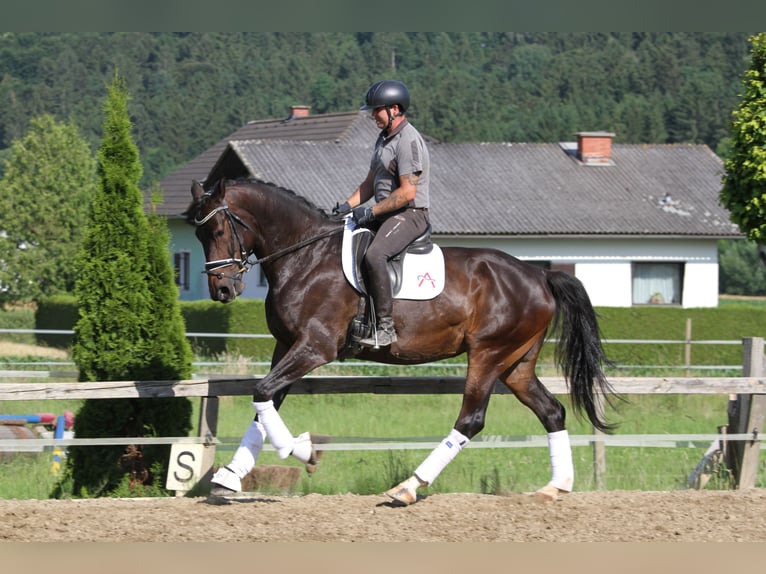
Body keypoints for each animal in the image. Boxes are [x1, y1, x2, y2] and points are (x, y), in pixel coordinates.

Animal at [186, 178, 616, 506]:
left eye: (219, 230)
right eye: (198, 234)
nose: (222, 290)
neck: (304, 257)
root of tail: (538, 275)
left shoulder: (315, 347)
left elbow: (262, 393)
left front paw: (305, 450)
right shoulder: (285, 346)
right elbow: (266, 403)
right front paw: (230, 476)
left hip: (488, 354)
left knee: (471, 419)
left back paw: (408, 487)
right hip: (516, 363)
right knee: (552, 411)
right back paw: (555, 486)